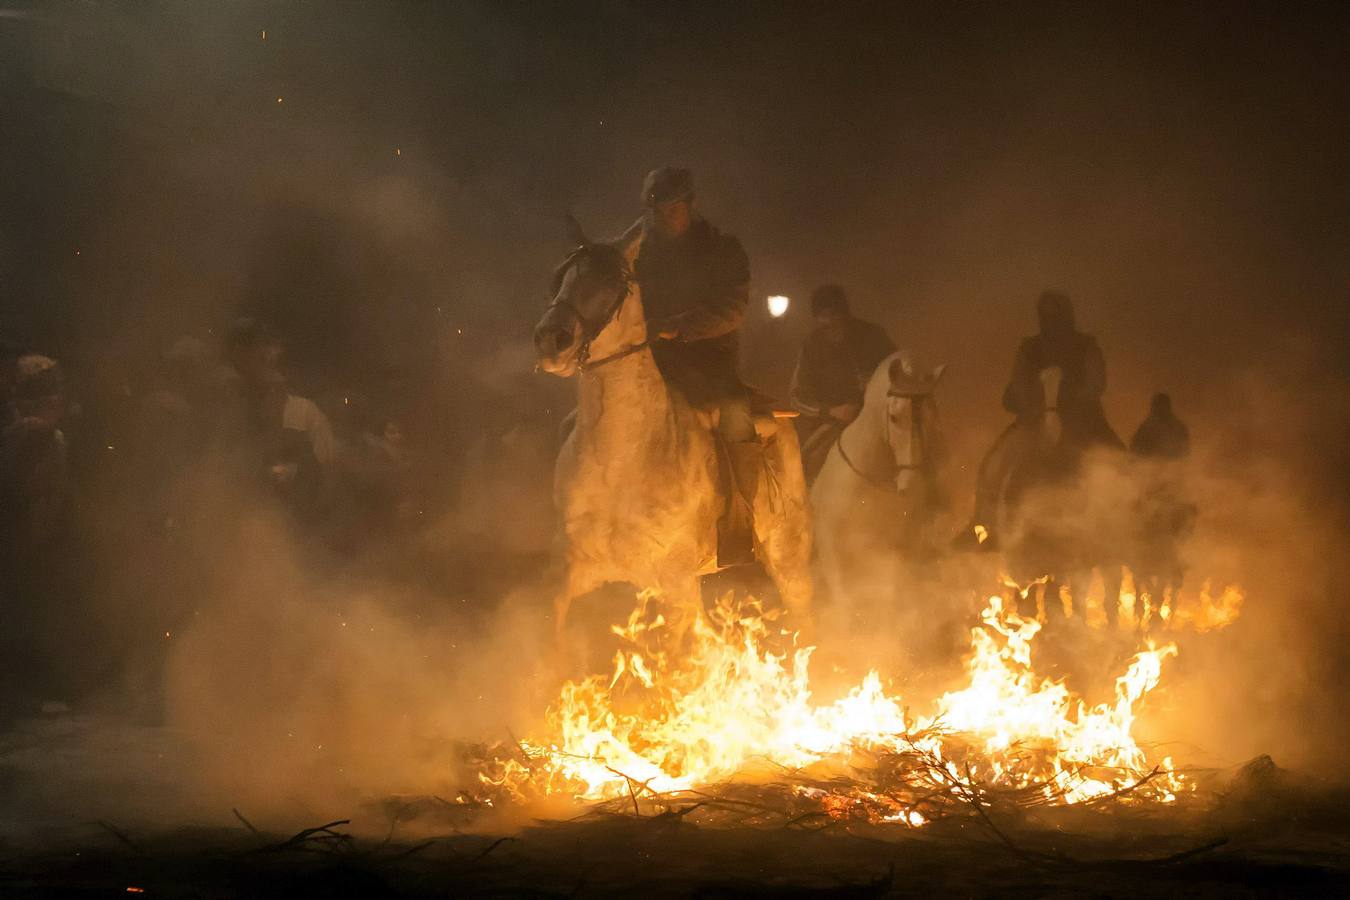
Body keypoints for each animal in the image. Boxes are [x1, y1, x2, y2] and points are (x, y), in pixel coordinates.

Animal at [531, 218, 810, 636]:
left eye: (612, 282)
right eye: (561, 277)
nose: (551, 339)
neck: (621, 460)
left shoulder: (677, 586)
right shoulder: (566, 573)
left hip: (789, 559)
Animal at [810, 356, 950, 612]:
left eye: (932, 416)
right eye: (894, 416)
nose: (913, 484)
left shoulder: (901, 546)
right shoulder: (829, 544)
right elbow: (842, 597)